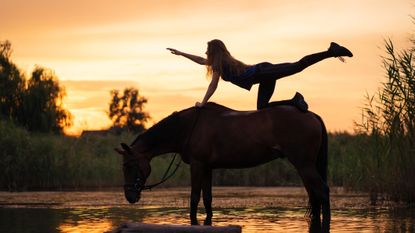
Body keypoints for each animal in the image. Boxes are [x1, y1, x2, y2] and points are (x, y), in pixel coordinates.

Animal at [114, 102, 332, 233]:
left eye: (128, 165)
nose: (130, 196)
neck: (187, 127)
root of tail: (311, 115)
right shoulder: (208, 168)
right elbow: (208, 199)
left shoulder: (198, 165)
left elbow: (194, 198)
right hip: (304, 167)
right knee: (314, 195)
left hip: (304, 165)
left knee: (322, 191)